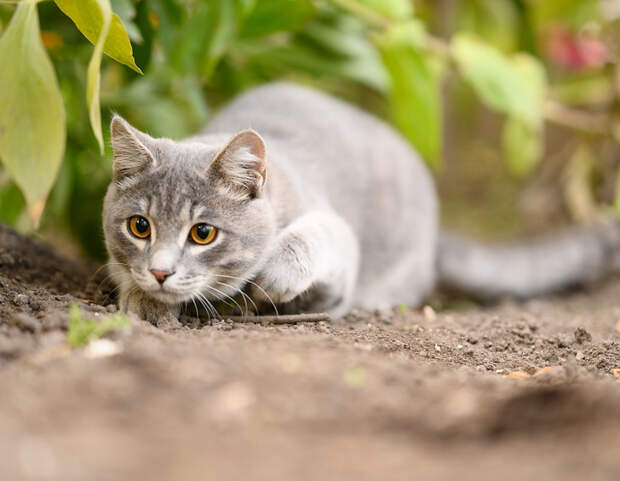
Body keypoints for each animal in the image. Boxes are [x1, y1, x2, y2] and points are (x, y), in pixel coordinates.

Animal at [101, 81, 620, 322]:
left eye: (203, 233)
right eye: (140, 226)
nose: (161, 271)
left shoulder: (337, 244)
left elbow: (317, 238)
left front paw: (274, 276)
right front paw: (142, 298)